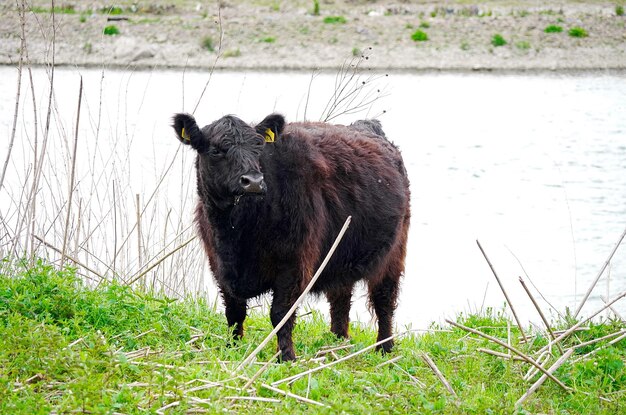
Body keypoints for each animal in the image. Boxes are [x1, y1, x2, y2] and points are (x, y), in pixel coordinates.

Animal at [171, 113, 410, 360]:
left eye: (258, 147)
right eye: (216, 150)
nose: (253, 181)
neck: (237, 231)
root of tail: (367, 125)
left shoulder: (294, 264)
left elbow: (280, 313)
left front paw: (286, 357)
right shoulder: (219, 266)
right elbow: (234, 313)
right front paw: (232, 349)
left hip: (393, 254)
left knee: (384, 301)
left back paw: (384, 349)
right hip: (340, 256)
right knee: (340, 300)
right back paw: (337, 343)